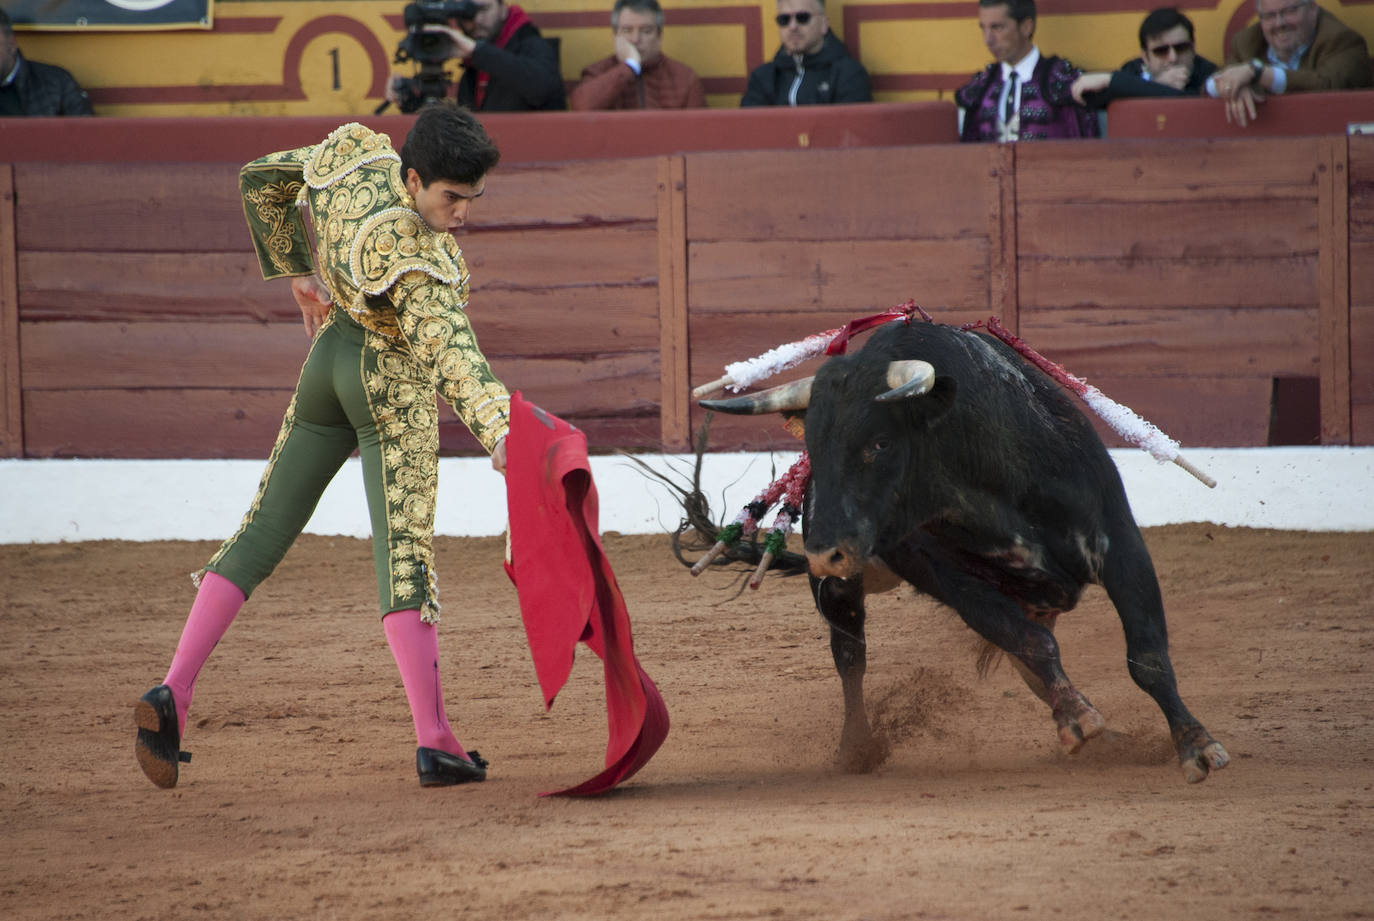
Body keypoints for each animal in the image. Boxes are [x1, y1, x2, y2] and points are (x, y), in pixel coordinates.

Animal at [703, 318, 1231, 786]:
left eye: (880, 442)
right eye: (814, 447)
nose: (824, 553)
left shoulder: (1119, 542)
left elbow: (1147, 654)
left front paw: (1196, 746)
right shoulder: (955, 583)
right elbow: (1029, 643)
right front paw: (1079, 718)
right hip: (838, 592)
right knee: (851, 657)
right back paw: (857, 748)